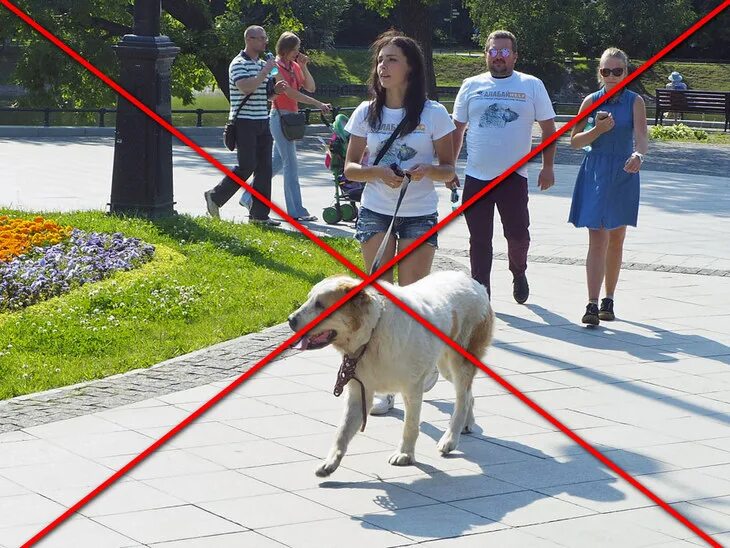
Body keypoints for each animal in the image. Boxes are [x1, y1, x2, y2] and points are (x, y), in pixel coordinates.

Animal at [288, 270, 492, 476]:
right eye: (309, 299)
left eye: (320, 305)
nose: (290, 320)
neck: (372, 333)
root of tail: (474, 282)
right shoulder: (359, 391)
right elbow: (342, 431)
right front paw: (330, 463)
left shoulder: (412, 388)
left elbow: (410, 425)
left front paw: (405, 454)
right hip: (445, 366)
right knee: (467, 395)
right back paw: (466, 423)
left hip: (460, 361)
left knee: (462, 397)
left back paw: (450, 439)